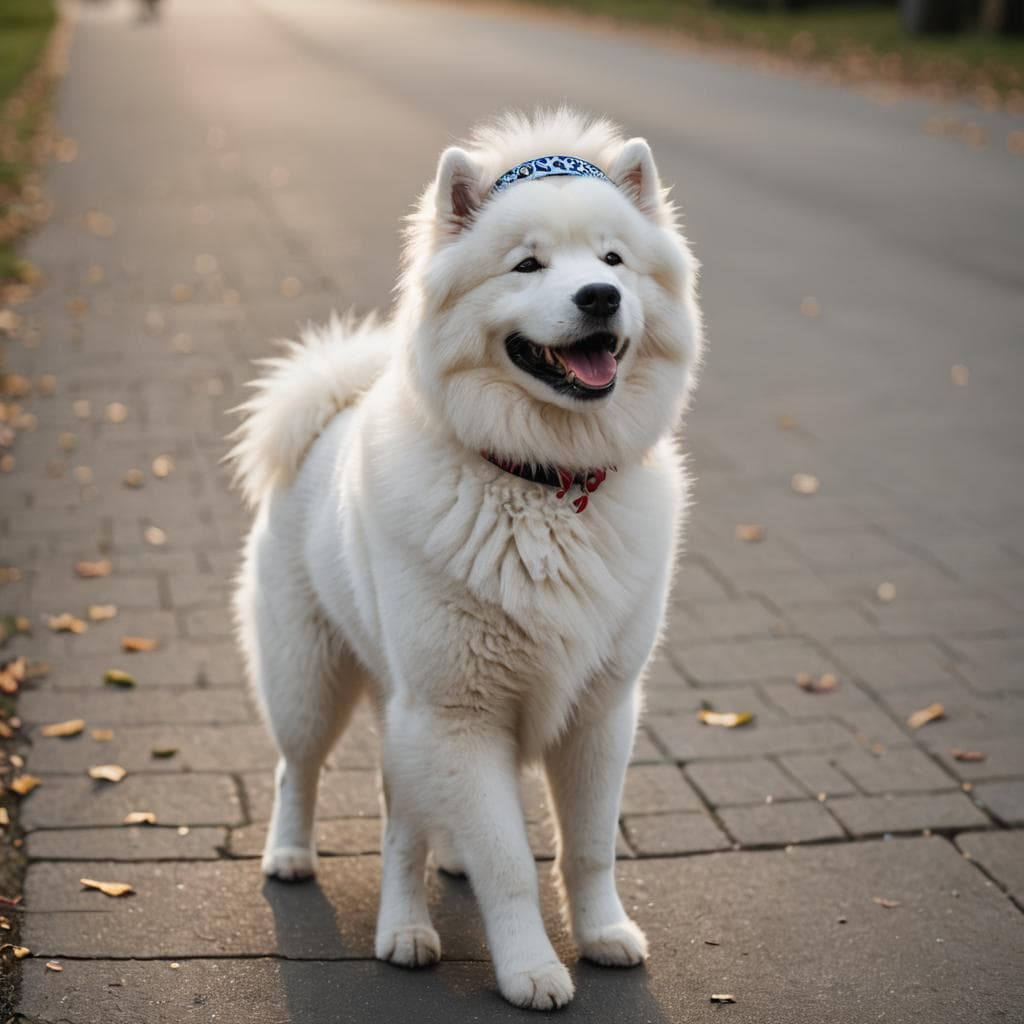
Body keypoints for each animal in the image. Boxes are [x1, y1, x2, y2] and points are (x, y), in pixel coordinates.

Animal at [228, 110, 700, 1007]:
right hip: (314, 679)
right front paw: (532, 971)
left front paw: (603, 935)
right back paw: (314, 870)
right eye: (528, 264)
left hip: (406, 709)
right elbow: (510, 865)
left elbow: (587, 848)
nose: (600, 298)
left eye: (613, 261)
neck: (542, 483)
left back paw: (424, 891)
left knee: (409, 817)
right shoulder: (460, 711)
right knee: (301, 772)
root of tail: (329, 407)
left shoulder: (599, 712)